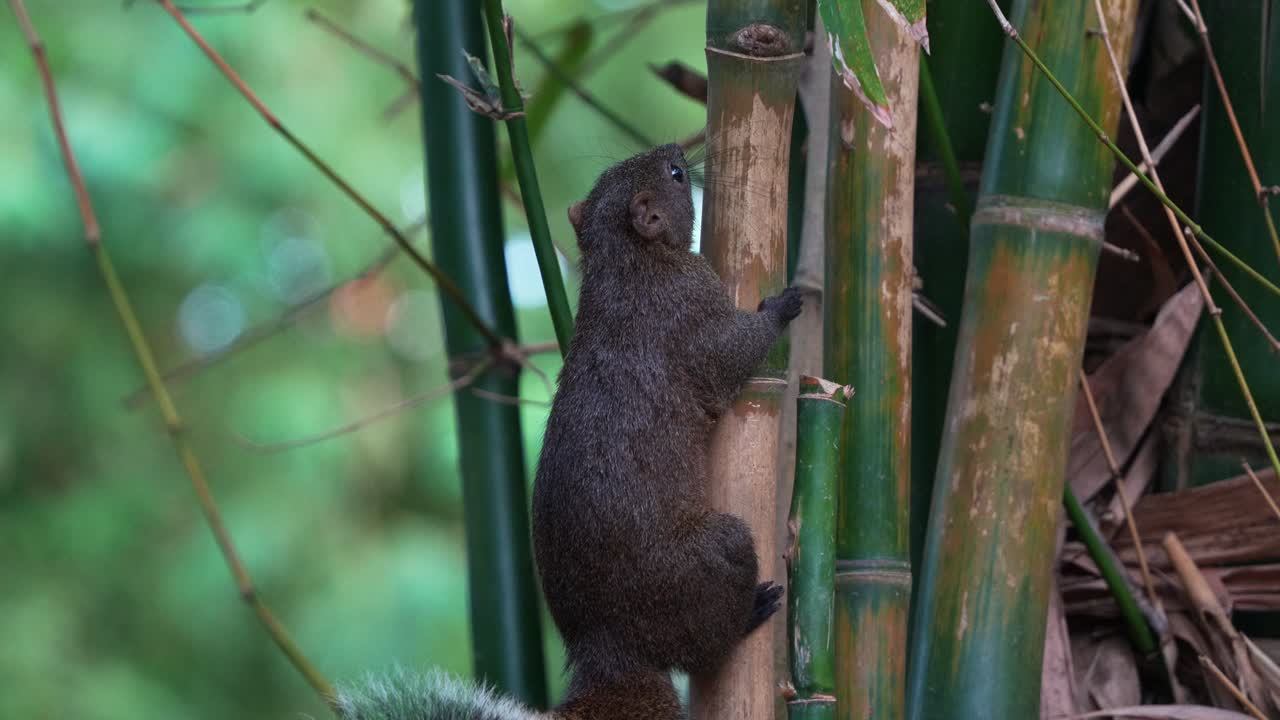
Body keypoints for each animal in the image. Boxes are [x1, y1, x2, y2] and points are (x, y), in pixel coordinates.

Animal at [336, 143, 804, 720]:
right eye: (674, 174)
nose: (676, 148)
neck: (624, 263)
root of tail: (610, 651)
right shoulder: (690, 309)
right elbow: (734, 352)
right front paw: (781, 308)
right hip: (715, 554)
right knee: (707, 643)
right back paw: (748, 615)